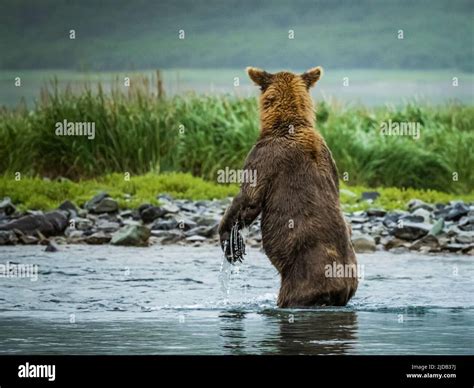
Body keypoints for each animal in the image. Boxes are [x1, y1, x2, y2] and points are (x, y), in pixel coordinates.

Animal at [218, 67, 356, 310]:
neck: (287, 123)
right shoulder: (331, 162)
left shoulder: (265, 157)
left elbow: (249, 198)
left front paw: (231, 242)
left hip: (299, 278)